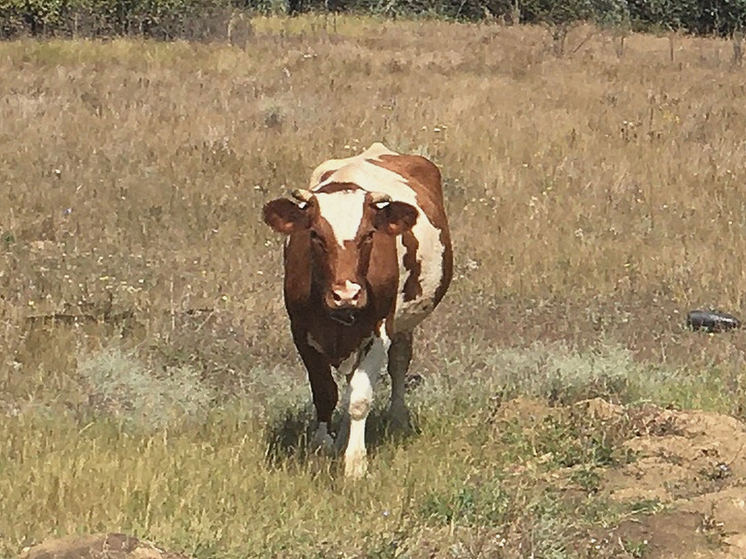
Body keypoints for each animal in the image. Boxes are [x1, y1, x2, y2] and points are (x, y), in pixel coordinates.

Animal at [262, 142, 450, 480]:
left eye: (369, 235)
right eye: (315, 234)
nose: (346, 295)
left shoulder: (379, 330)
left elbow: (360, 397)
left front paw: (355, 463)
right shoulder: (301, 331)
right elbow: (325, 393)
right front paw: (323, 447)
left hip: (402, 323)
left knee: (398, 362)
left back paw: (397, 418)